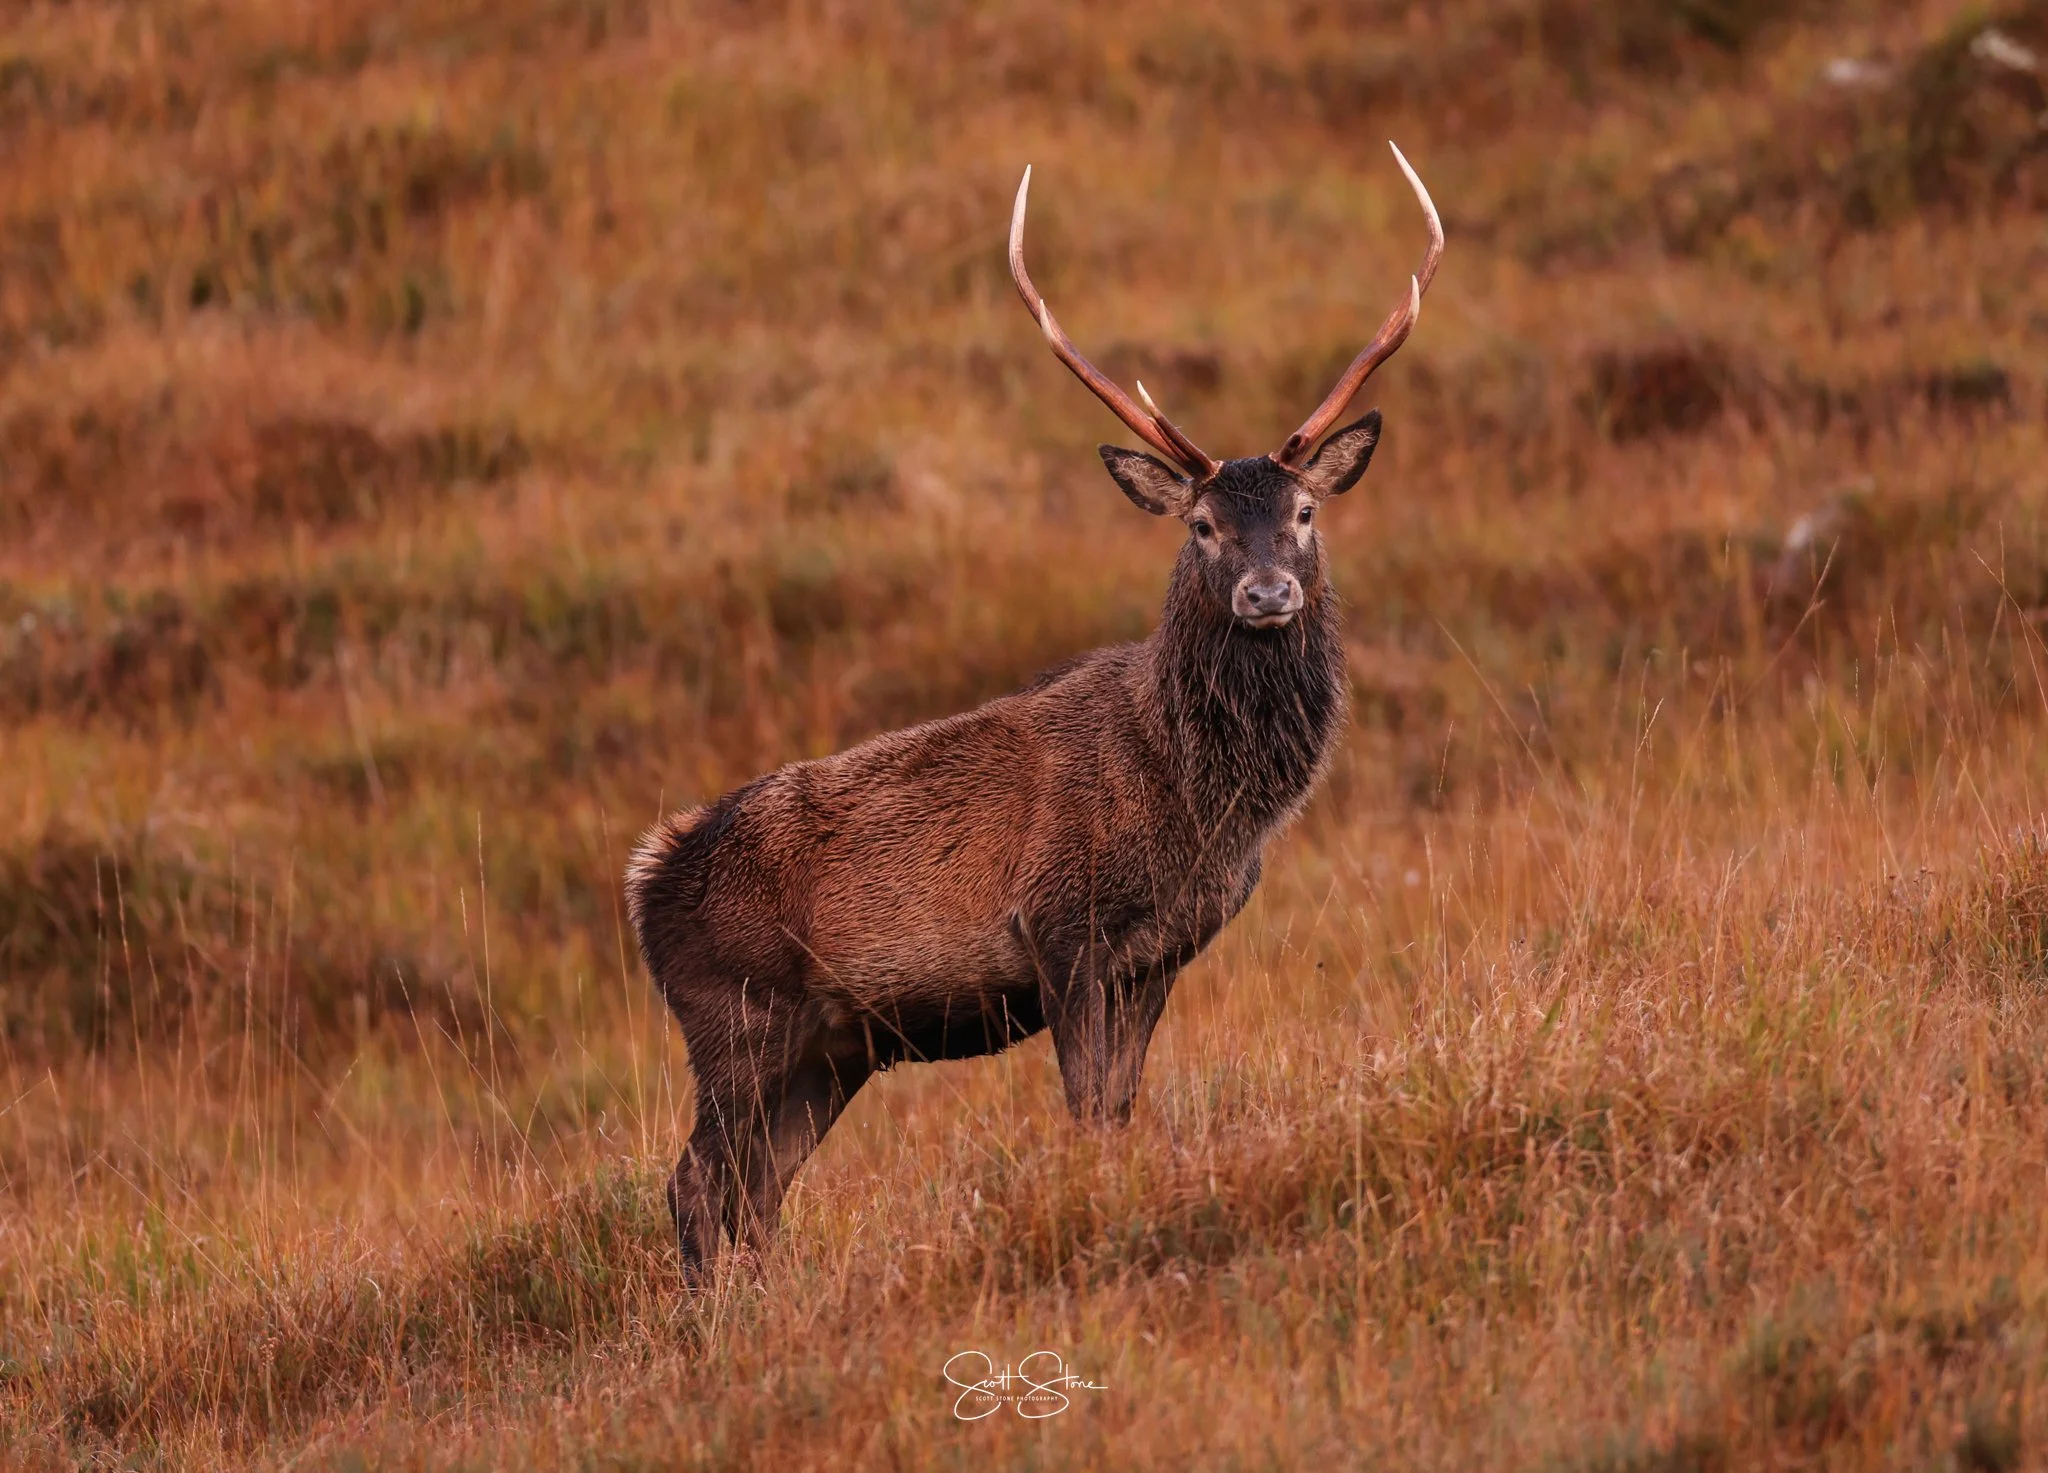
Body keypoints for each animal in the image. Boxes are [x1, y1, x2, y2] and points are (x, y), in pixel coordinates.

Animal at [627, 142, 1442, 1275]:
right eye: (1200, 525)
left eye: (1305, 511)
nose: (1266, 592)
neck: (1192, 800)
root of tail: (643, 881)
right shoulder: (1060, 929)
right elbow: (1084, 1114)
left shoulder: (1160, 955)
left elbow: (1120, 1113)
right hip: (737, 1020)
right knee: (697, 1184)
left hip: (828, 1051)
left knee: (754, 1190)